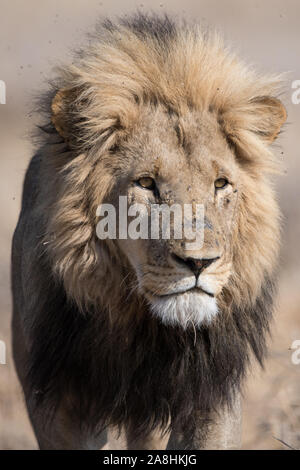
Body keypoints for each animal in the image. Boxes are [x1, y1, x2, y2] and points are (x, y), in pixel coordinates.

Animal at [11, 12, 288, 450]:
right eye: (146, 183)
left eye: (221, 184)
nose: (199, 263)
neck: (147, 328)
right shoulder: (58, 399)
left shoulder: (211, 393)